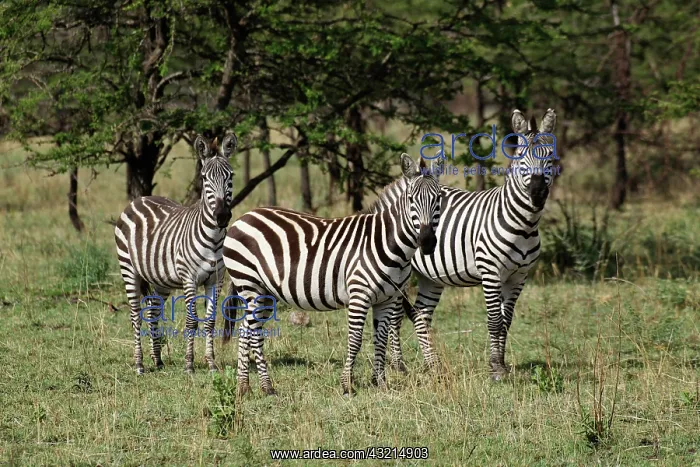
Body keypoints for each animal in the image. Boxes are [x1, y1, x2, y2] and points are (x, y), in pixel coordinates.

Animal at [114, 134, 236, 374]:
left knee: (152, 311)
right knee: (135, 316)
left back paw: (158, 360)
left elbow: (210, 321)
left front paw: (211, 363)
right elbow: (191, 321)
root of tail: (139, 199)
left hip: (160, 279)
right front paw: (189, 364)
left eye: (231, 176)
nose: (222, 216)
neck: (214, 238)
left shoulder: (216, 280)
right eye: (205, 178)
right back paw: (140, 364)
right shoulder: (189, 278)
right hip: (129, 269)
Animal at [221, 154, 443, 396]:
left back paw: (247, 386)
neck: (388, 242)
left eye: (438, 199)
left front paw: (380, 383)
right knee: (251, 332)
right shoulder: (359, 295)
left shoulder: (388, 299)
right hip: (249, 283)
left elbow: (381, 339)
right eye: (411, 199)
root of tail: (244, 217)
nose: (427, 242)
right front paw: (347, 385)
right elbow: (355, 340)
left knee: (247, 329)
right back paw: (261, 386)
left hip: (264, 291)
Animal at [387, 109, 557, 380]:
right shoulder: (491, 272)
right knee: (393, 317)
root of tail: (397, 185)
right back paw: (399, 366)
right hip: (399, 270)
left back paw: (431, 365)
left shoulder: (519, 276)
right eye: (521, 159)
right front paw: (496, 368)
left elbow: (506, 321)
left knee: (421, 314)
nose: (538, 192)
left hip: (431, 277)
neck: (524, 225)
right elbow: (494, 321)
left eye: (550, 157)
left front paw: (502, 364)